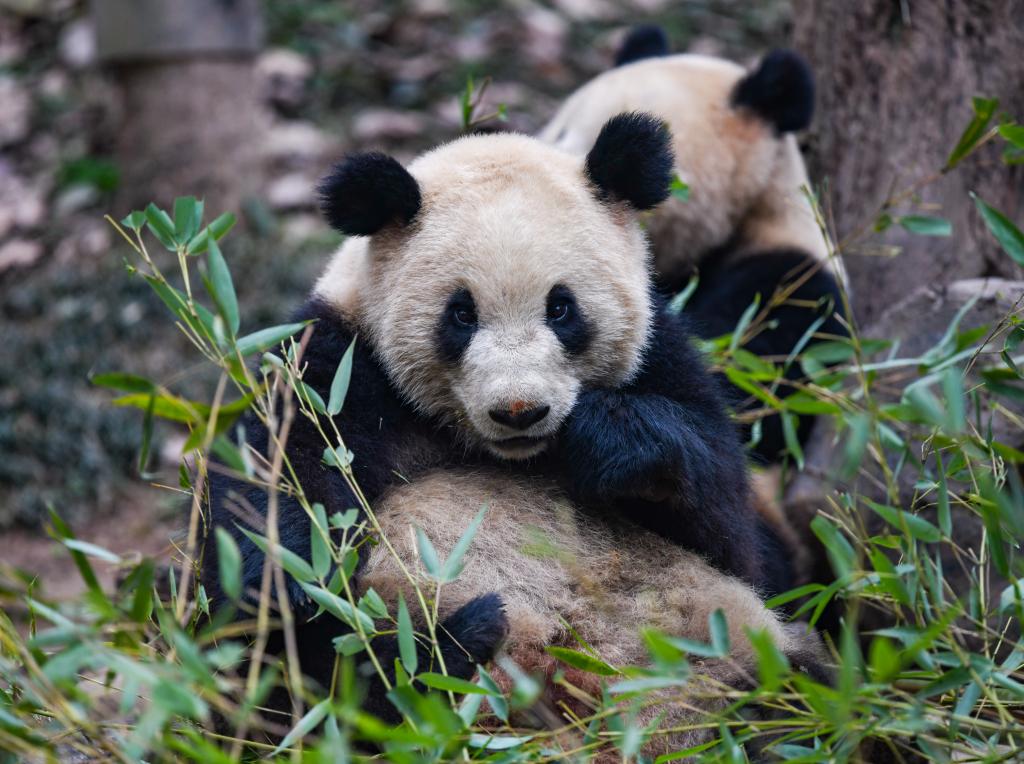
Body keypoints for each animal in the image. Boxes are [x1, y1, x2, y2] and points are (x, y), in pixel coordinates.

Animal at [201, 102, 831, 733]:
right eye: (461, 314)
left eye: (561, 307)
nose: (520, 411)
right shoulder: (341, 367)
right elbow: (277, 500)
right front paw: (292, 580)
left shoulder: (661, 354)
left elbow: (733, 530)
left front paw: (605, 439)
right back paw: (455, 643)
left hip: (729, 655)